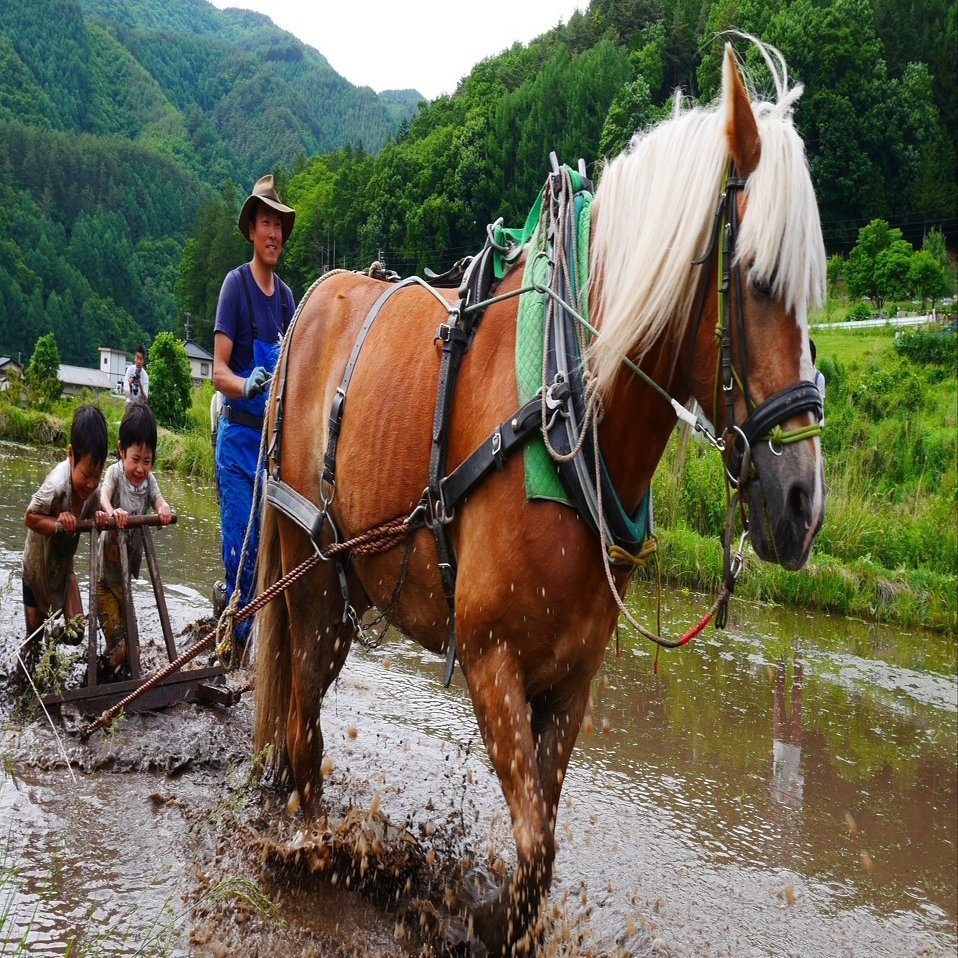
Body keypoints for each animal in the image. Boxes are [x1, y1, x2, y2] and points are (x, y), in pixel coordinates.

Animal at [254, 38, 826, 954]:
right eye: (757, 278)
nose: (803, 503)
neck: (567, 412)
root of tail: (311, 300)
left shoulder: (572, 679)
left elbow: (543, 848)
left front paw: (495, 916)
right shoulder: (490, 655)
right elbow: (530, 846)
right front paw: (474, 911)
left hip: (348, 585)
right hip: (306, 572)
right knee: (303, 724)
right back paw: (315, 846)